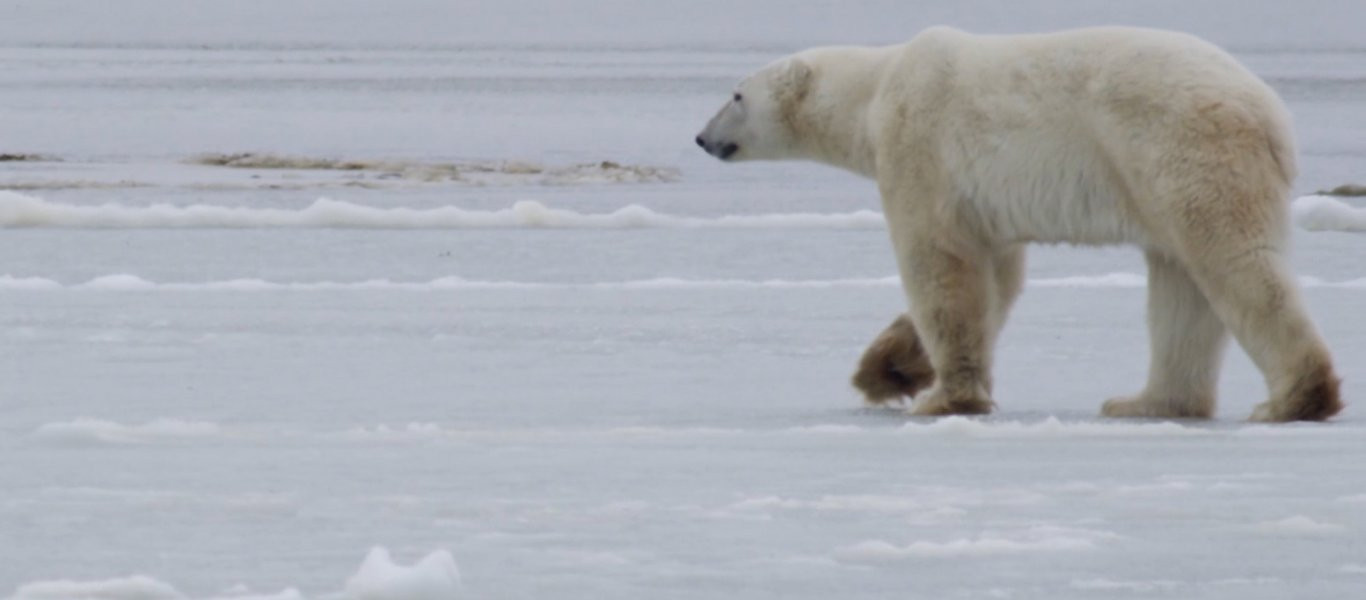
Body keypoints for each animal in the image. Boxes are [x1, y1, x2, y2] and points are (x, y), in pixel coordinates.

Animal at [699, 26, 1338, 423]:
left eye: (736, 94)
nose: (703, 138)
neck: (876, 88)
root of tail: (1272, 114)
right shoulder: (979, 201)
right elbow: (996, 278)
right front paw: (886, 372)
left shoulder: (919, 146)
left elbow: (938, 266)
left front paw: (944, 397)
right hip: (1161, 178)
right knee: (1180, 285)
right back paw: (1146, 401)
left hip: (1182, 149)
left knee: (1233, 263)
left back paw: (1294, 399)